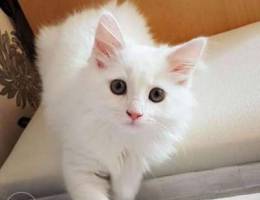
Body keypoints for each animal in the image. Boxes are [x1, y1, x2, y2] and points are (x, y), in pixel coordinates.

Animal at [37, 0, 207, 199]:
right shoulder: (80, 165)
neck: (122, 141)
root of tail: (94, 10)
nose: (134, 114)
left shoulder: (131, 172)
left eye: (157, 95)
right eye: (118, 87)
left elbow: (124, 193)